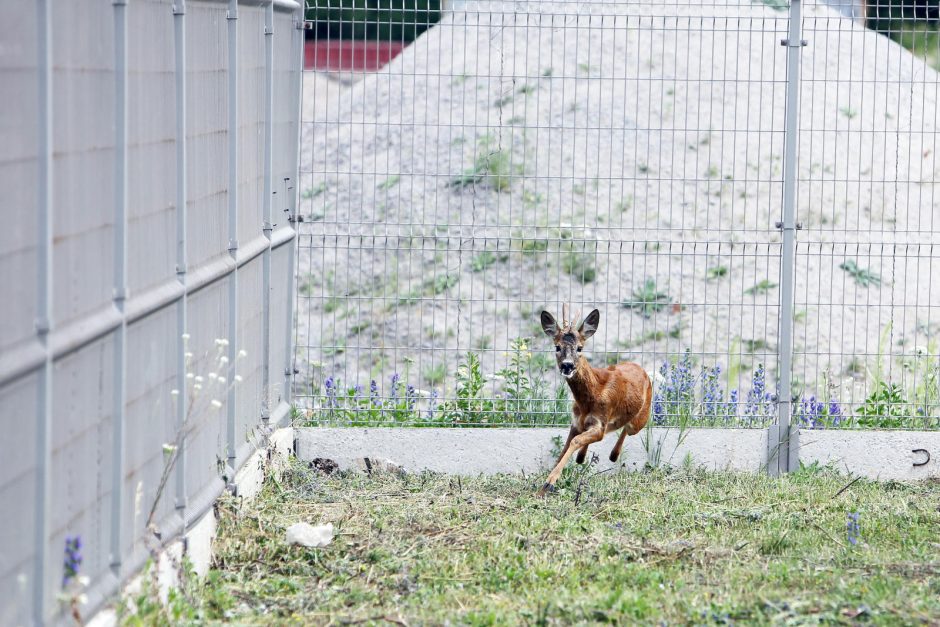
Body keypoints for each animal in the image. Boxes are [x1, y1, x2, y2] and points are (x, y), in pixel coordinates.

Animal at [536, 306, 652, 498]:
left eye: (580, 348)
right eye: (557, 346)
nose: (567, 365)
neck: (588, 400)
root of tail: (642, 369)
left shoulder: (600, 422)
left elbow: (576, 442)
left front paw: (549, 482)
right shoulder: (576, 422)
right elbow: (566, 446)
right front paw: (542, 484)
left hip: (640, 420)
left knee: (627, 428)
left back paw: (613, 455)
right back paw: (585, 457)